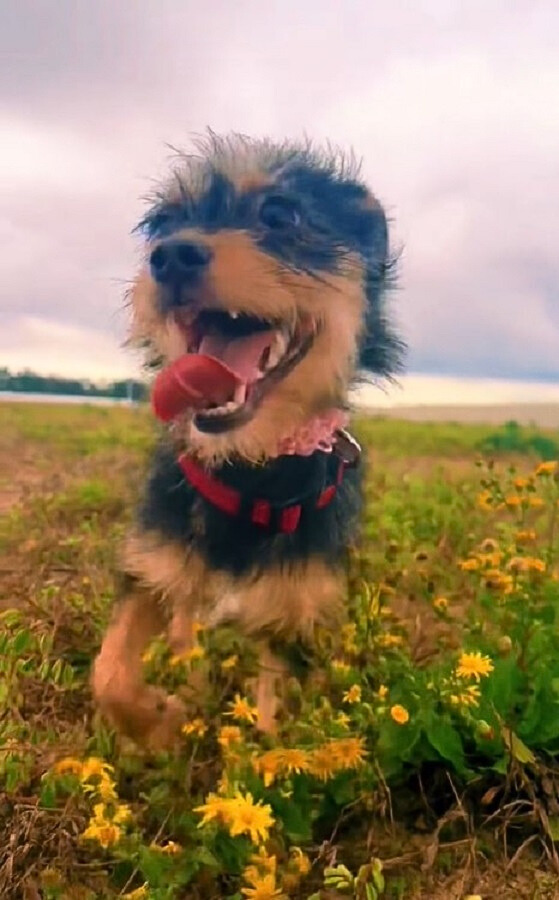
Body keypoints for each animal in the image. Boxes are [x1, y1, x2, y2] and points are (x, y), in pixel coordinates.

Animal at [94, 134, 404, 748]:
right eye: (163, 224)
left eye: (280, 215)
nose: (170, 256)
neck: (251, 469)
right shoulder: (153, 564)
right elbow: (110, 671)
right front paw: (160, 723)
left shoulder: (291, 616)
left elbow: (273, 730)